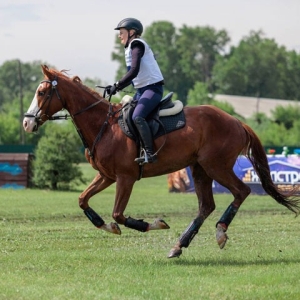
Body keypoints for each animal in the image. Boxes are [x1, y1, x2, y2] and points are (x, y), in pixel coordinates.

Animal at [23, 65, 300, 258]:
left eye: (42, 92)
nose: (26, 123)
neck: (104, 125)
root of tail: (237, 122)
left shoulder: (125, 178)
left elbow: (119, 213)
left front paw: (153, 224)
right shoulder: (107, 176)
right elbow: (83, 200)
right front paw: (108, 227)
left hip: (216, 166)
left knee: (240, 191)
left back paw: (220, 232)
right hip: (199, 168)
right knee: (206, 206)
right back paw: (179, 246)